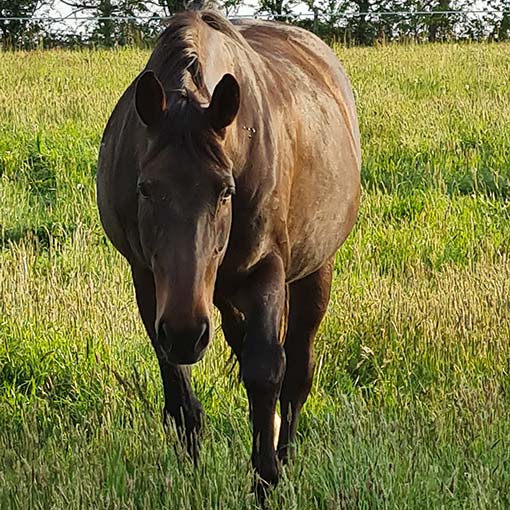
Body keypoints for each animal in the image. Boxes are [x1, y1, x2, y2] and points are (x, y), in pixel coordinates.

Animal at [94, 7, 358, 494]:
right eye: (145, 188)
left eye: (225, 191)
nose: (186, 333)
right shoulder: (147, 279)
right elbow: (178, 390)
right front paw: (192, 472)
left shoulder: (266, 271)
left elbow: (267, 369)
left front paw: (267, 477)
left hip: (314, 272)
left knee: (297, 370)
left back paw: (285, 451)